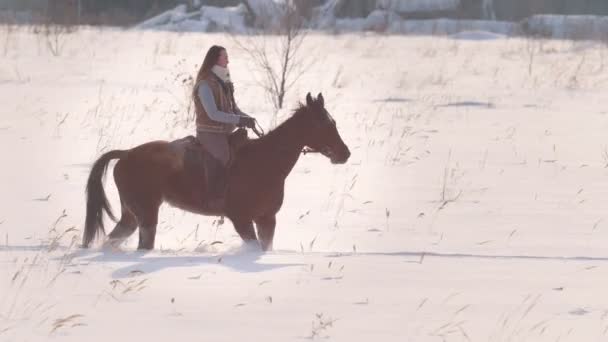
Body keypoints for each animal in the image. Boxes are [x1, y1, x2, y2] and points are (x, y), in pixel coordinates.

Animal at [82, 93, 352, 251]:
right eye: (324, 123)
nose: (345, 153)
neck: (265, 162)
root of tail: (125, 154)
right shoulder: (241, 219)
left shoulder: (267, 219)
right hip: (147, 215)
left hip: (130, 215)